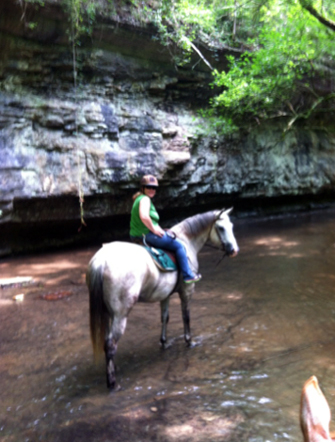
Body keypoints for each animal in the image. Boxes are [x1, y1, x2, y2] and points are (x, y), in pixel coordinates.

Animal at [86, 209, 239, 388]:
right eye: (221, 228)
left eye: (231, 226)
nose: (234, 250)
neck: (186, 242)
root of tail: (101, 260)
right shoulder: (187, 291)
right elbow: (186, 317)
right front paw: (190, 341)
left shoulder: (164, 295)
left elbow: (165, 317)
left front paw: (164, 342)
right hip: (121, 314)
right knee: (111, 343)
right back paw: (112, 383)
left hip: (108, 312)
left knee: (107, 341)